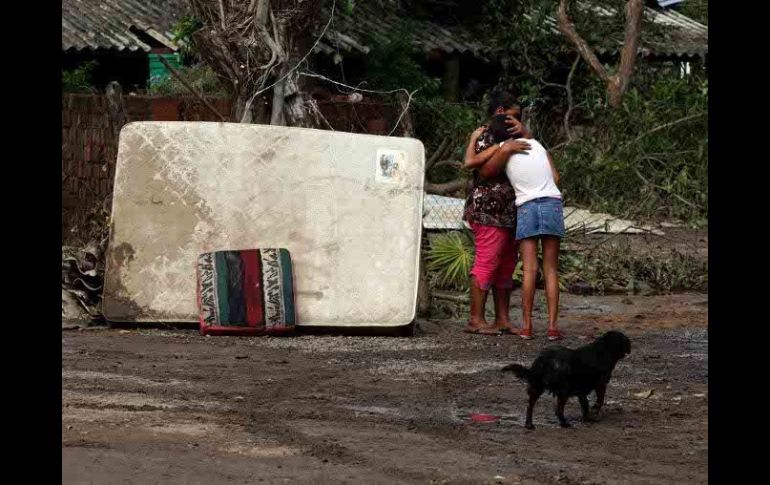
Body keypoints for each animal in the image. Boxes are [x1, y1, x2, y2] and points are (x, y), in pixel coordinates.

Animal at [500, 330, 628, 430]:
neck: (604, 349)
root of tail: (543, 359)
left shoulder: (581, 391)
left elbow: (585, 405)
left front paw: (587, 418)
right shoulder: (601, 384)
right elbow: (599, 401)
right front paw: (594, 413)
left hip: (537, 388)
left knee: (530, 406)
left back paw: (529, 425)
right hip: (563, 391)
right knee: (558, 409)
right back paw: (564, 423)